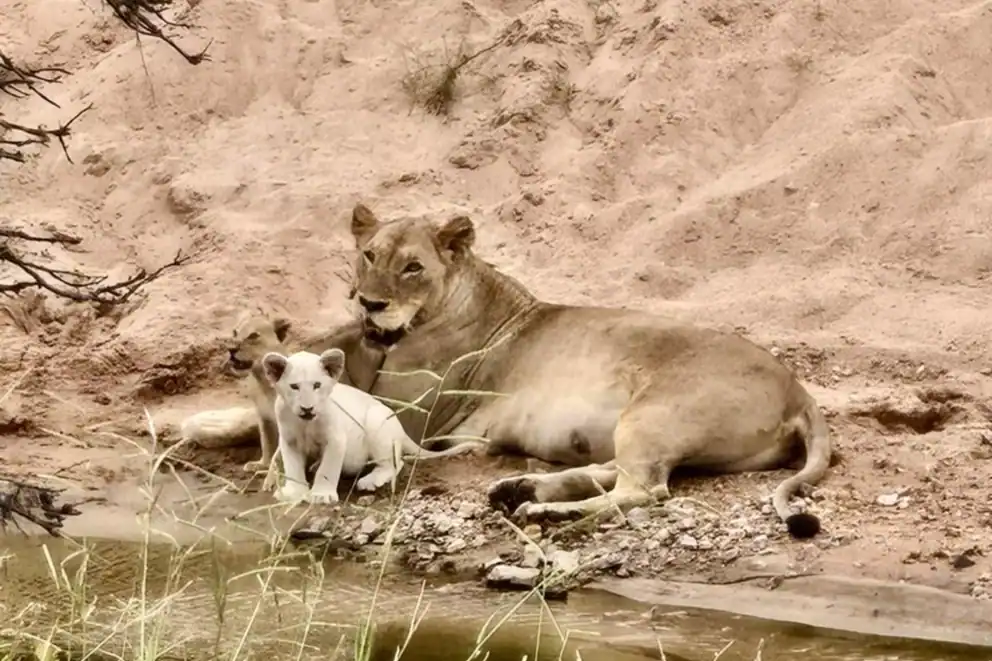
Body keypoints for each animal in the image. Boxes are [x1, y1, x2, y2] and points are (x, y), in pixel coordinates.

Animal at [186, 203, 833, 539]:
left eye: (413, 267)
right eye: (369, 255)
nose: (370, 303)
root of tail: (799, 390)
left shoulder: (409, 414)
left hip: (654, 411)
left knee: (642, 491)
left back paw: (543, 508)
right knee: (616, 475)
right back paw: (521, 487)